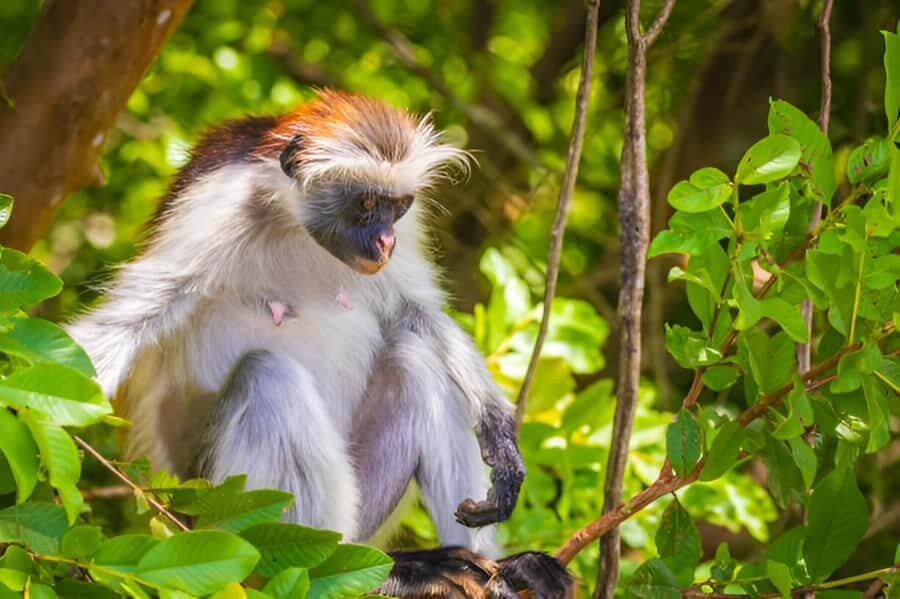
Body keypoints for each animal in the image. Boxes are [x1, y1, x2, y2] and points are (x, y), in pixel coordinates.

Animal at [69, 90, 570, 596]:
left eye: (399, 206)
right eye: (366, 202)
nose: (385, 242)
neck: (295, 228)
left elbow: (414, 311)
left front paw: (498, 431)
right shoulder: (214, 209)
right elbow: (129, 321)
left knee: (414, 359)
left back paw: (497, 570)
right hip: (219, 515)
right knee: (268, 375)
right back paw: (362, 570)